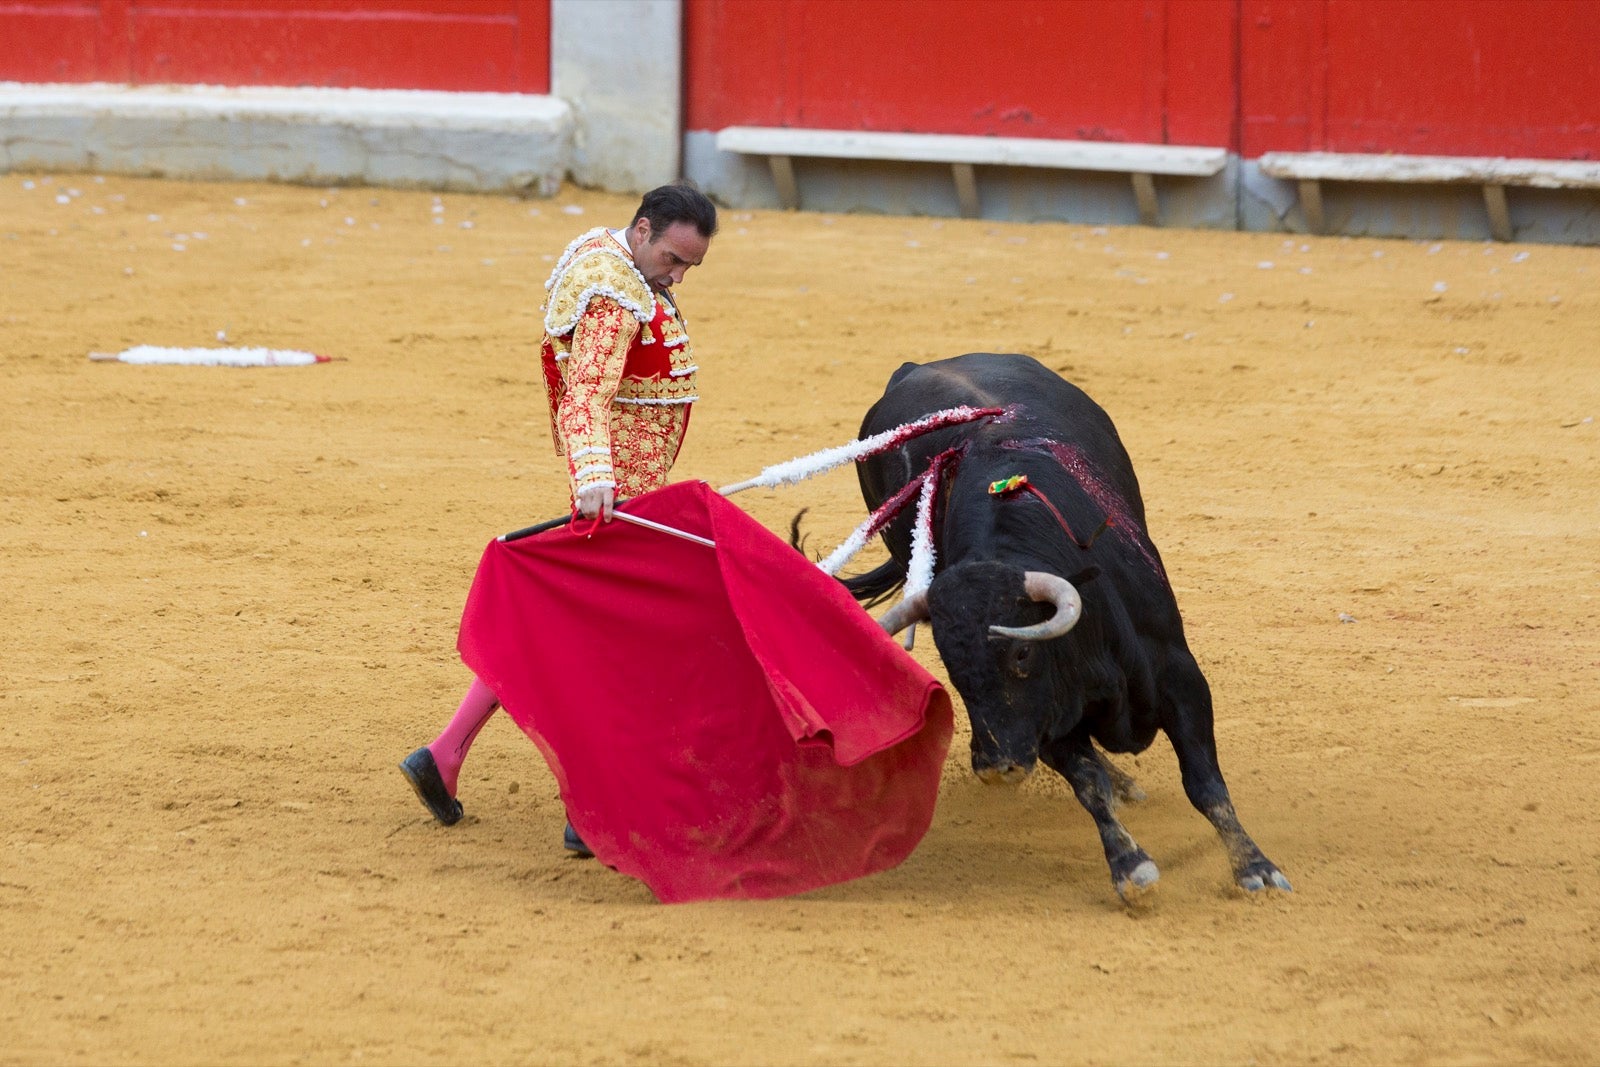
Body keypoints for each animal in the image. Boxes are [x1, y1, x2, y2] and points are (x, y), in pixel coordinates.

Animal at [838, 355, 1286, 908]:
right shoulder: (1045, 717)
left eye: (1022, 655)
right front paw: (1129, 868)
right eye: (954, 668)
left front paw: (1255, 868)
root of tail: (916, 367)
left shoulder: (1181, 677)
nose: (995, 766)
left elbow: (1204, 782)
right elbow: (1088, 784)